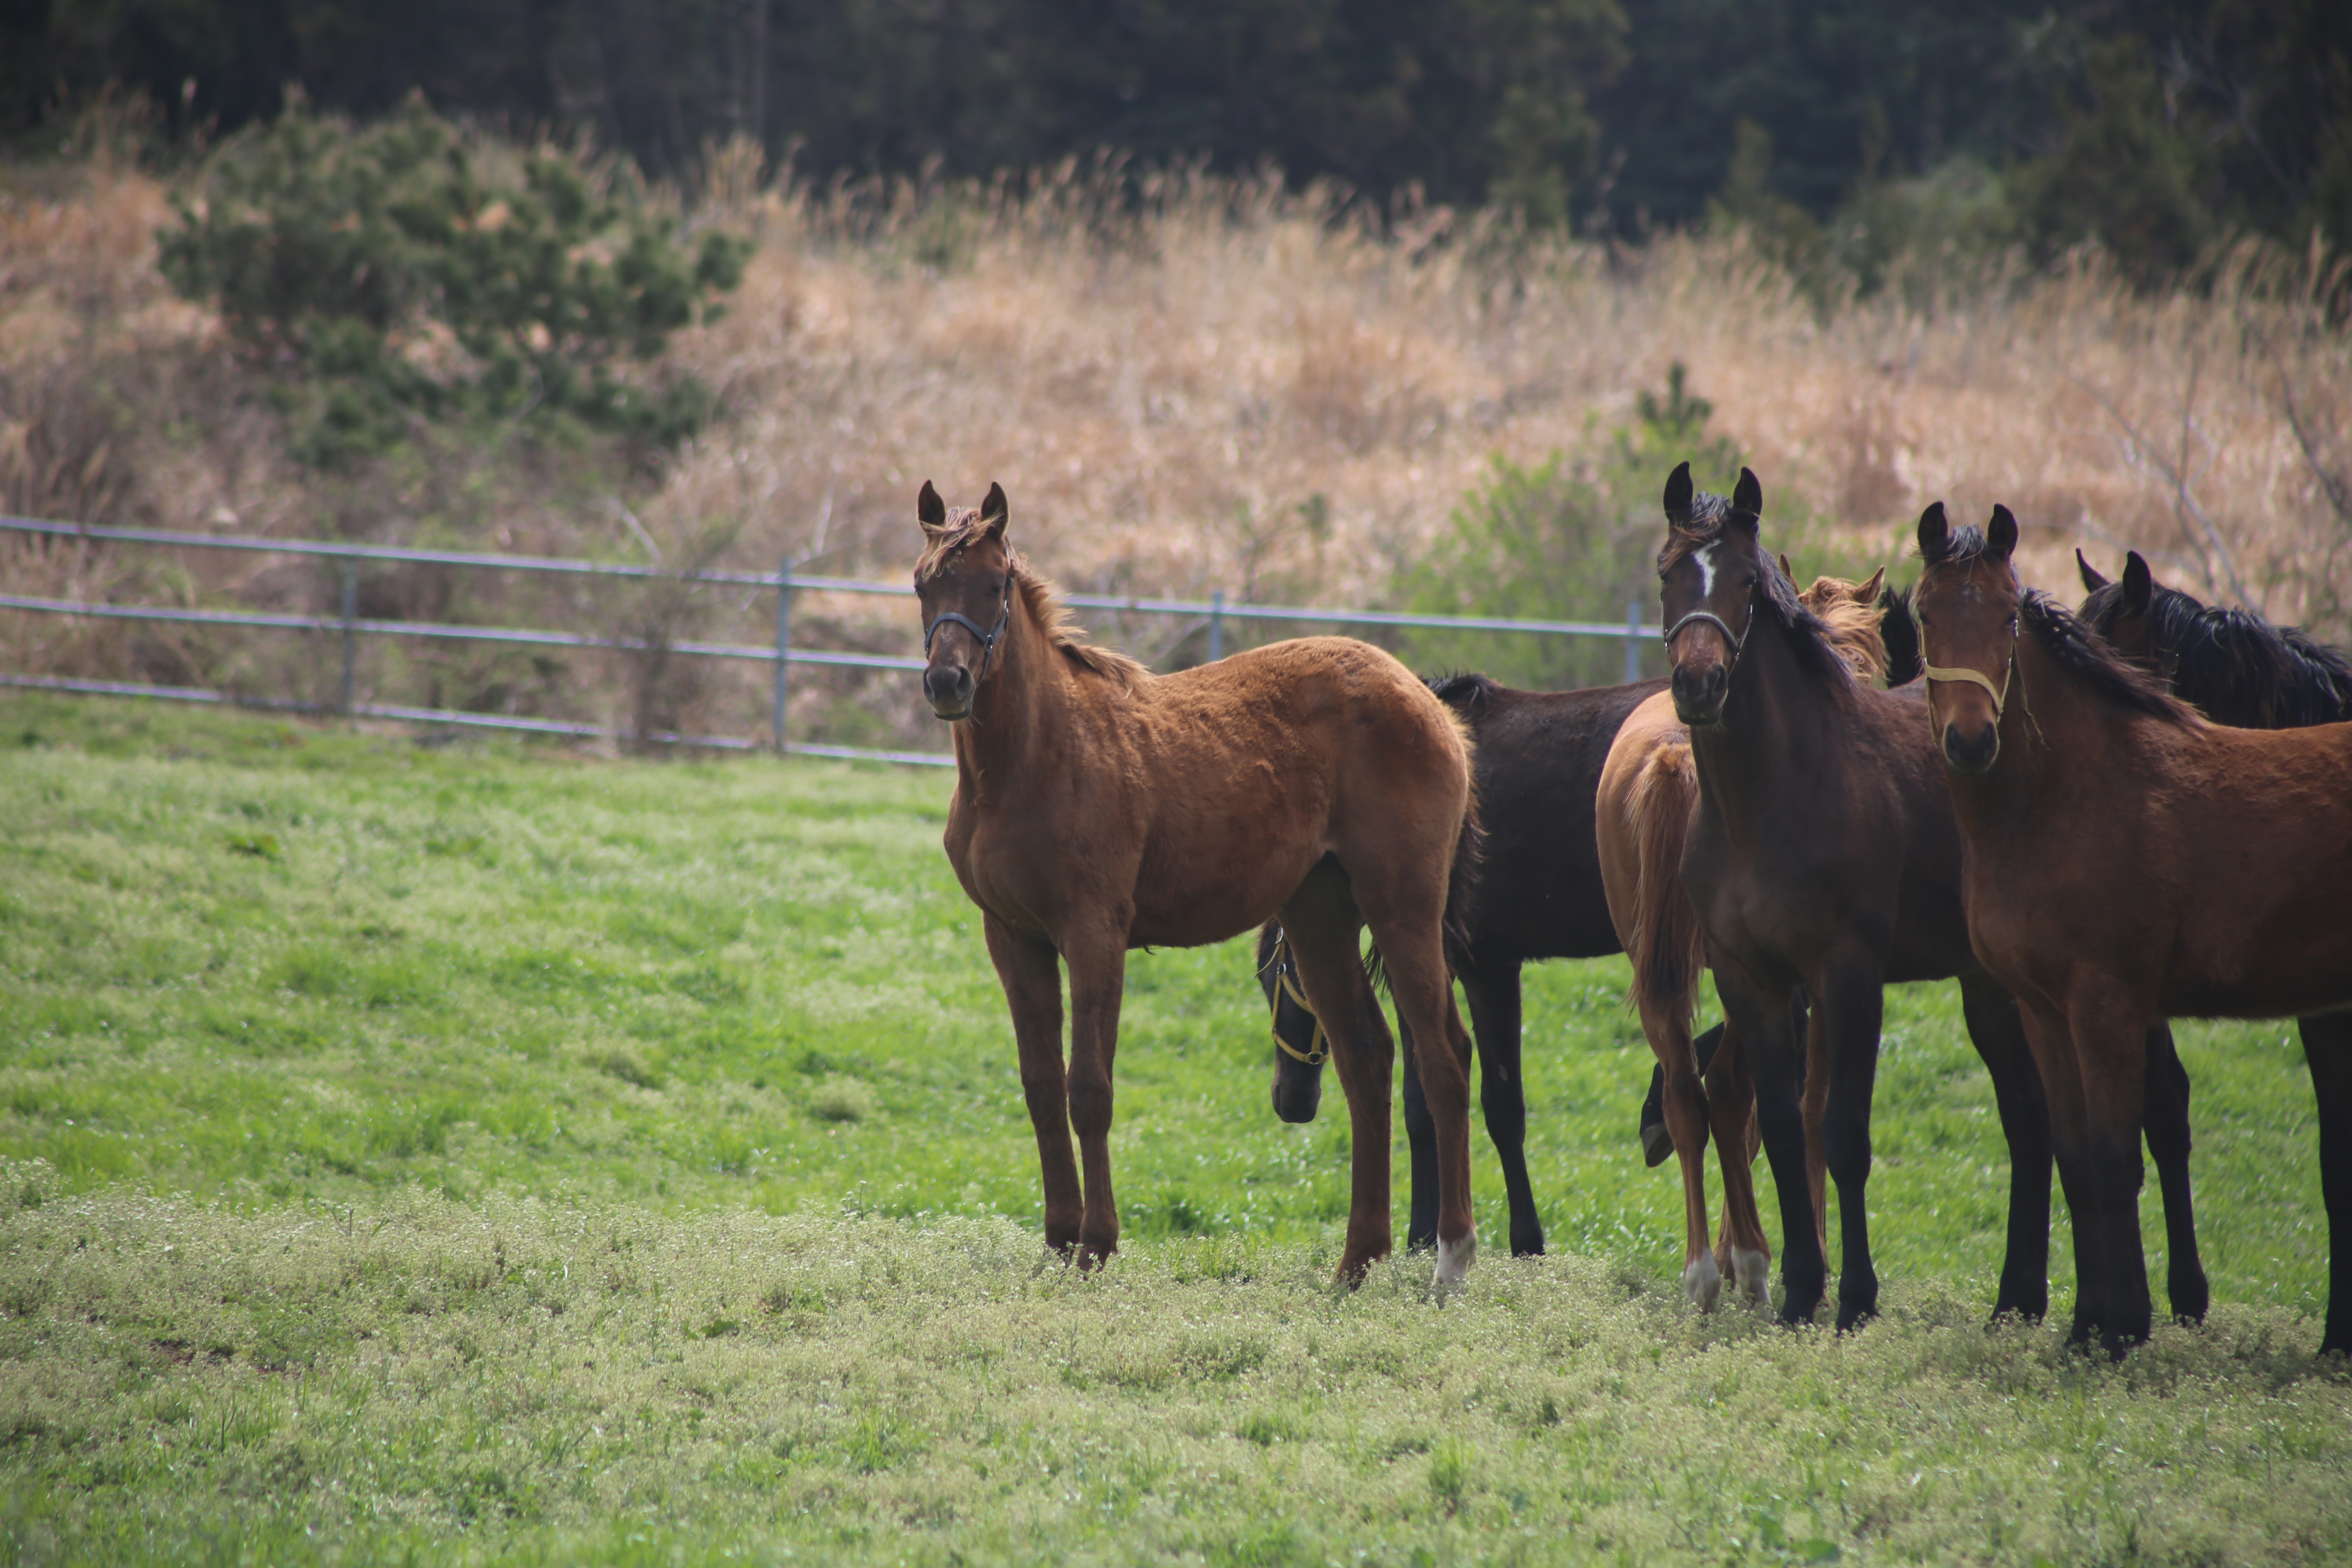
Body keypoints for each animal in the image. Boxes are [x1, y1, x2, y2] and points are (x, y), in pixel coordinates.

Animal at [912, 482, 1477, 1288]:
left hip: (1403, 907)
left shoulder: (1093, 932)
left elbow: (1089, 1089)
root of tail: (1429, 703)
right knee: (1368, 1057)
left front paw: (1094, 1246)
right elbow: (1042, 1087)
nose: (947, 683)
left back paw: (1451, 1259)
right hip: (1319, 915)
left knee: (1444, 1056)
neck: (1034, 757)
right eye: (923, 585)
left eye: (994, 586)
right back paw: (1355, 1264)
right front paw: (1056, 1243)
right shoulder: (1014, 937)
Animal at [1656, 470, 2201, 1335]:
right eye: (1668, 575)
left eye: (1745, 582)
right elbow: (1778, 1129)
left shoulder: (1849, 977)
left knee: (2162, 1108)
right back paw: (2021, 1299)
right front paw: (1800, 1292)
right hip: (1995, 990)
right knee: (2032, 1124)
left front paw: (1853, 1299)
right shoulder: (1751, 980)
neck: (1773, 797)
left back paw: (2175, 1298)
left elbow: (1841, 1133)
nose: (1700, 686)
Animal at [1919, 505, 2352, 1363]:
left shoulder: (2109, 1004)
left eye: (2007, 618)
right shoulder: (2045, 1010)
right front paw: (2091, 1326)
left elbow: (2120, 1156)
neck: (2077, 793)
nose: (1971, 742)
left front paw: (2121, 1330)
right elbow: (2079, 1157)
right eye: (1923, 616)